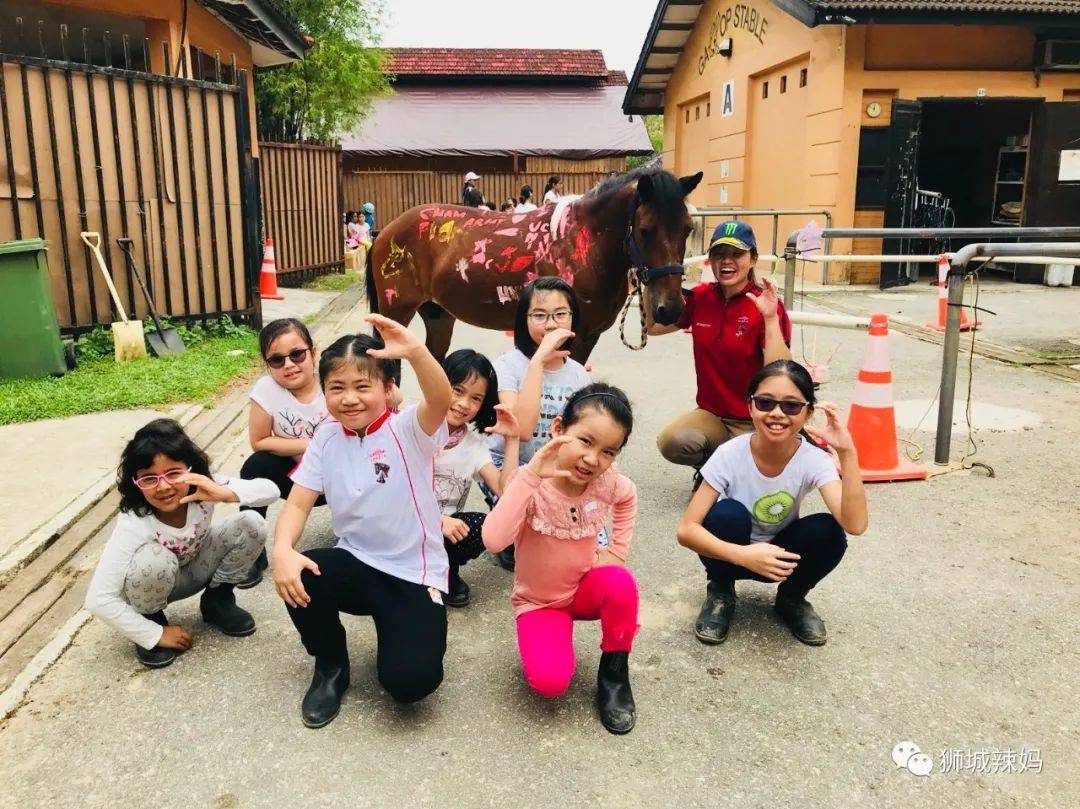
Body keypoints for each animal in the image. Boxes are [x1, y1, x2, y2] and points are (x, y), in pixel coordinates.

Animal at [367, 167, 704, 360]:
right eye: (645, 230)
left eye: (688, 228)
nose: (671, 308)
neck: (581, 242)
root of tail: (386, 232)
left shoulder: (588, 337)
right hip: (396, 314)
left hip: (438, 315)